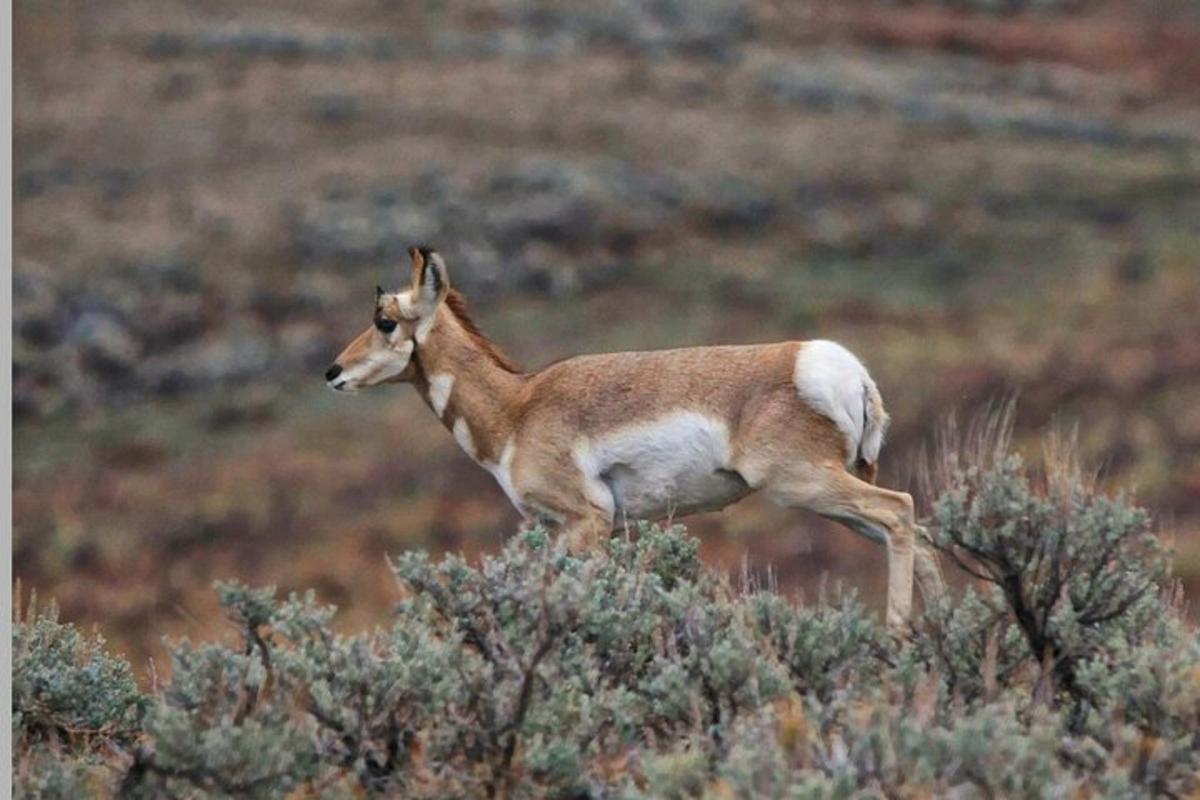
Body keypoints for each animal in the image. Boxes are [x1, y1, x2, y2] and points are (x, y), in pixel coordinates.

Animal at [328, 247, 945, 628]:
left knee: (900, 509)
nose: (331, 372)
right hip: (836, 501)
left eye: (385, 320)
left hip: (805, 486)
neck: (518, 407)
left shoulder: (587, 521)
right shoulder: (572, 529)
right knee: (918, 536)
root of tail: (843, 368)